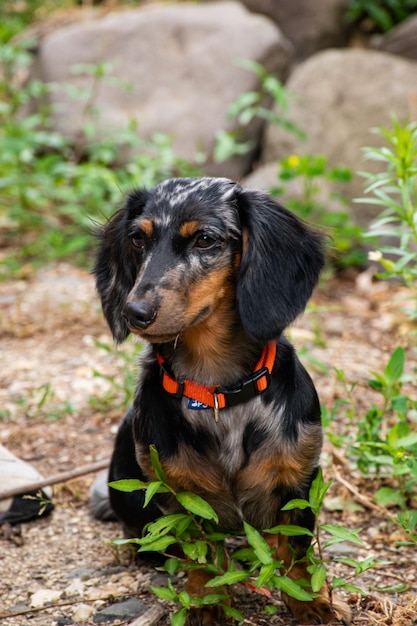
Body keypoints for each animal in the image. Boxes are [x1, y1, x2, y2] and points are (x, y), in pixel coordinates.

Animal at [92, 177, 350, 624]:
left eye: (205, 239)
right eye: (138, 239)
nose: (133, 312)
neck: (216, 391)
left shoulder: (299, 478)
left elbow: (296, 548)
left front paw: (309, 601)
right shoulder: (177, 491)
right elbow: (202, 552)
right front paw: (205, 601)